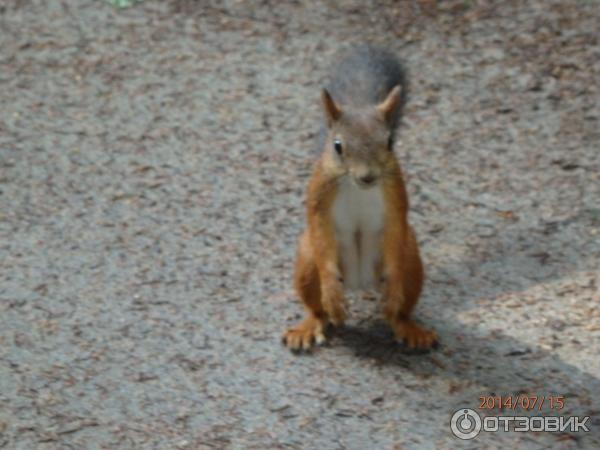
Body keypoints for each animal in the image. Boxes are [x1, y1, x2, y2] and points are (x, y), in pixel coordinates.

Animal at [282, 46, 436, 352]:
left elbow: (395, 228)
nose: (368, 177)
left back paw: (408, 326)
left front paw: (394, 290)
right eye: (337, 146)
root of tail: (359, 281)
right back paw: (311, 324)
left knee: (400, 307)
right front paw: (331, 292)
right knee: (317, 307)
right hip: (306, 263)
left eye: (389, 142)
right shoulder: (319, 196)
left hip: (411, 260)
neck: (357, 187)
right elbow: (320, 231)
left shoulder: (395, 196)